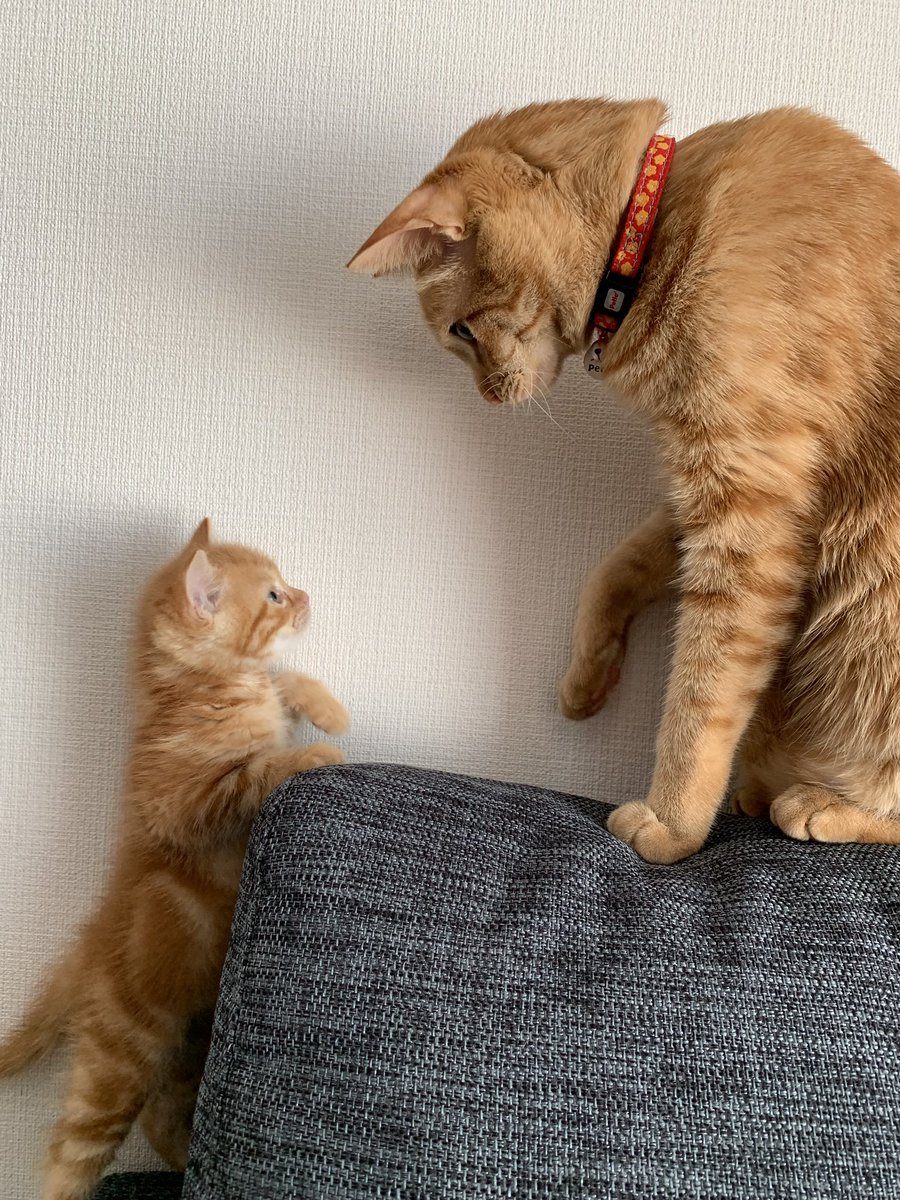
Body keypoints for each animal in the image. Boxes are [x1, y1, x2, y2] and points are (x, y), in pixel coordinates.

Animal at [0, 519, 349, 1200]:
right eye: (274, 595)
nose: (306, 596)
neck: (200, 690)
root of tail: (91, 941)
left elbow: (281, 683)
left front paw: (324, 707)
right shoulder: (184, 805)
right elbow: (257, 770)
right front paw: (317, 754)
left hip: (192, 1041)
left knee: (163, 1116)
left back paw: (187, 1157)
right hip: (118, 1059)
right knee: (73, 1154)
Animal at [348, 98, 900, 863]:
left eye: (459, 330)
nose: (488, 398)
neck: (660, 227)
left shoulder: (750, 514)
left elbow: (702, 693)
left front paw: (673, 821)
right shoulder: (699, 493)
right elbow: (614, 569)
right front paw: (588, 674)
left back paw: (819, 804)